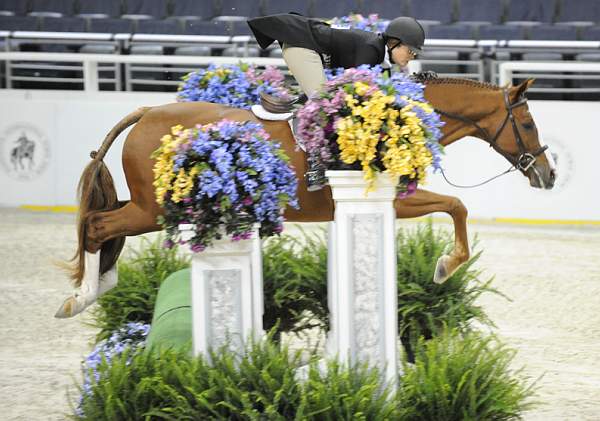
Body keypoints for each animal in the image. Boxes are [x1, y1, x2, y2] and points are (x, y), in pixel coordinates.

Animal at [54, 76, 556, 318]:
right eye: (529, 123)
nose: (548, 176)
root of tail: (145, 111)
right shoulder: (394, 199)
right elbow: (457, 206)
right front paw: (446, 267)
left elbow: (455, 207)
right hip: (155, 209)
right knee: (98, 225)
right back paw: (82, 297)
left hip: (149, 205)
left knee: (105, 222)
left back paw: (101, 285)